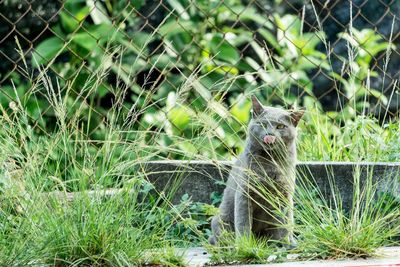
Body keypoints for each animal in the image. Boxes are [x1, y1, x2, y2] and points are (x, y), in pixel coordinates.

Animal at [209, 97, 304, 247]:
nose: (269, 135)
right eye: (263, 124)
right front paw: (245, 245)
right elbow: (243, 222)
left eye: (280, 126)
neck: (269, 164)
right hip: (220, 220)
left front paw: (287, 243)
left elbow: (286, 222)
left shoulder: (285, 194)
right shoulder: (244, 193)